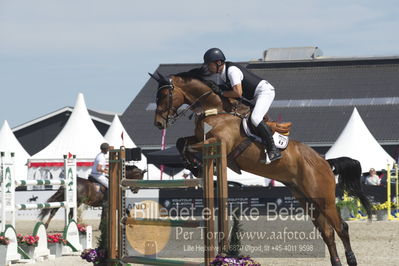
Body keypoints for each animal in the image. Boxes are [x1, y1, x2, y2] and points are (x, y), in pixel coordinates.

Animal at [152, 71, 374, 266]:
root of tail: (325, 161)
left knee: (341, 227)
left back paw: (352, 260)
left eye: (163, 95)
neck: (215, 109)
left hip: (324, 199)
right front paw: (193, 165)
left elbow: (192, 145)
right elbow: (182, 142)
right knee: (327, 232)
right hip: (307, 199)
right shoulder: (200, 138)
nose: (158, 123)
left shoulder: (218, 141)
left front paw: (196, 165)